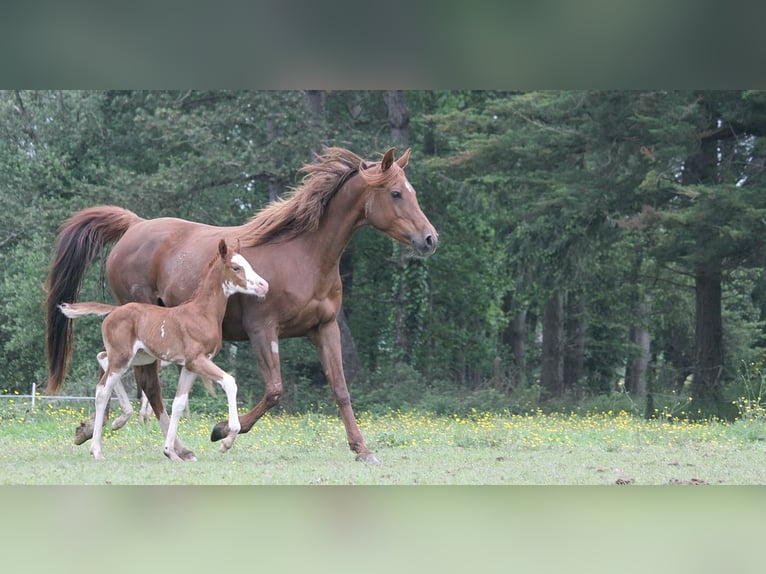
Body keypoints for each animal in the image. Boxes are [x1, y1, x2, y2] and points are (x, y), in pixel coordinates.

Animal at [60, 240, 270, 464]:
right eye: (236, 267)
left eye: (248, 263)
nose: (263, 286)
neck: (202, 313)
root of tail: (113, 311)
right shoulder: (198, 360)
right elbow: (230, 382)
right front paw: (227, 439)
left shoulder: (190, 366)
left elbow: (178, 403)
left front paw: (171, 451)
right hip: (123, 357)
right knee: (102, 390)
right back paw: (97, 450)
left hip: (139, 357)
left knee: (102, 361)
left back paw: (120, 420)